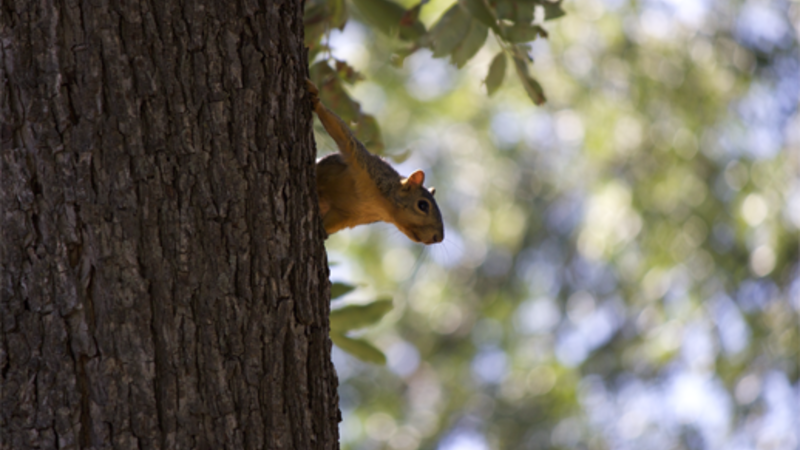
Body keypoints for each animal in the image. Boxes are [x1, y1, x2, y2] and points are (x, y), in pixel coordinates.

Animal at [307, 80, 444, 245]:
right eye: (423, 205)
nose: (438, 238)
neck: (381, 205)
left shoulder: (347, 215)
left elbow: (333, 223)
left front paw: (323, 233)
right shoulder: (364, 163)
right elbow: (343, 135)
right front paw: (316, 99)